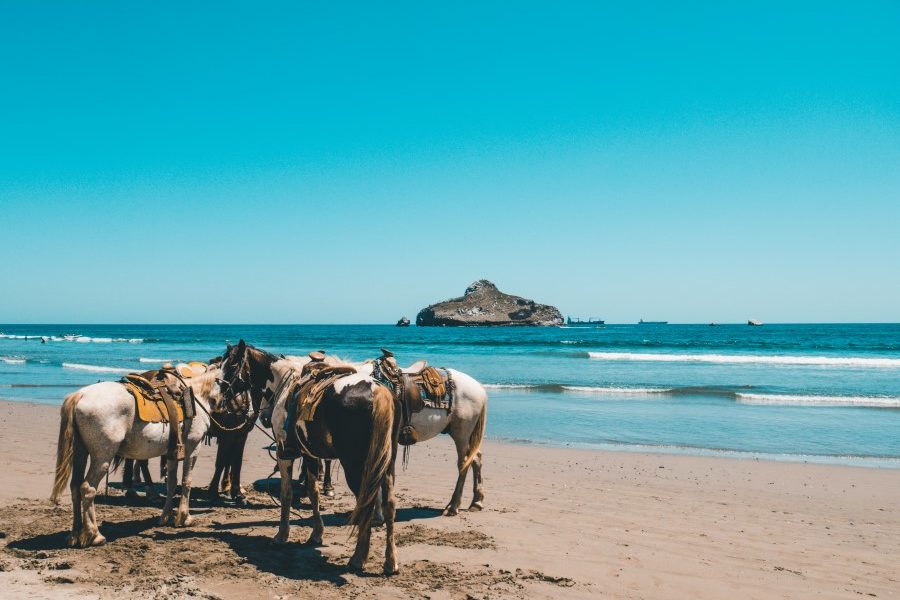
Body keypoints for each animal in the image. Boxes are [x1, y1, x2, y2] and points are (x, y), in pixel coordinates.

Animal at [220, 340, 400, 576]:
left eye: (231, 366)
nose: (221, 394)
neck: (283, 384)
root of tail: (379, 391)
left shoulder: (284, 453)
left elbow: (286, 493)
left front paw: (281, 535)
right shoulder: (310, 454)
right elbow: (313, 493)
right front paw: (316, 534)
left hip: (356, 465)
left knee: (366, 502)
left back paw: (358, 558)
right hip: (385, 464)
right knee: (389, 504)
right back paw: (390, 561)